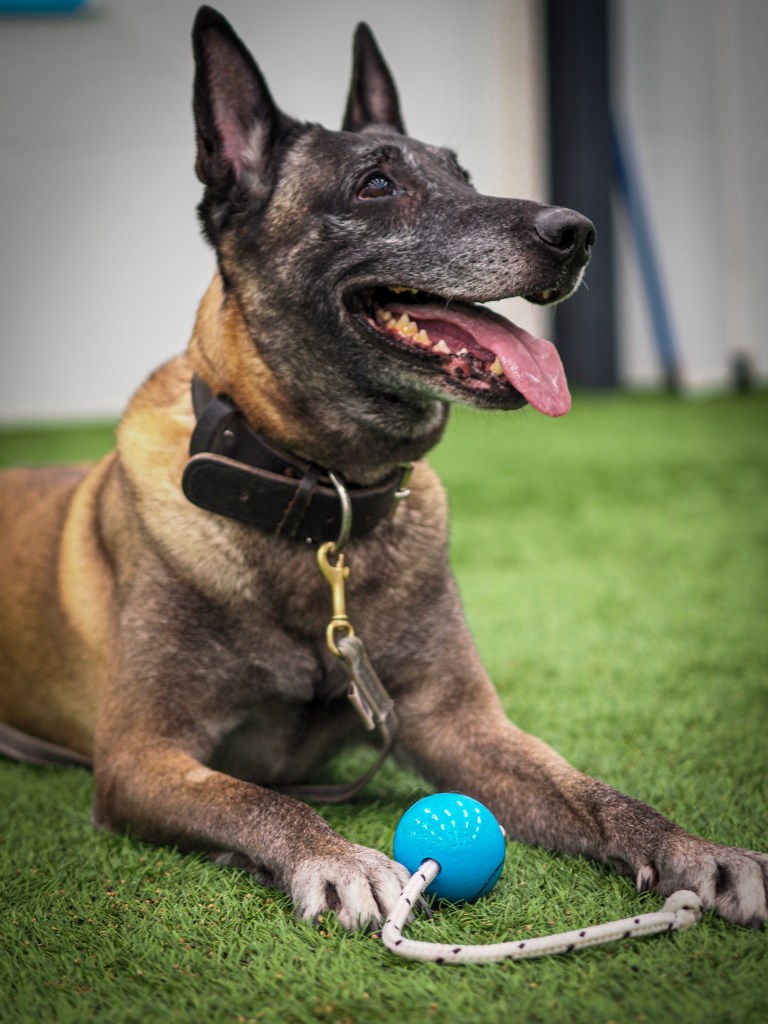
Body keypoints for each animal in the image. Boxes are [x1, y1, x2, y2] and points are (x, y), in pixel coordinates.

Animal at [0, 6, 765, 931]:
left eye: (463, 172)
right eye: (374, 185)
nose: (577, 234)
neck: (320, 497)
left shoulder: (459, 726)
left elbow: (599, 793)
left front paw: (697, 850)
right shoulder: (141, 758)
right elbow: (257, 798)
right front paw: (335, 858)